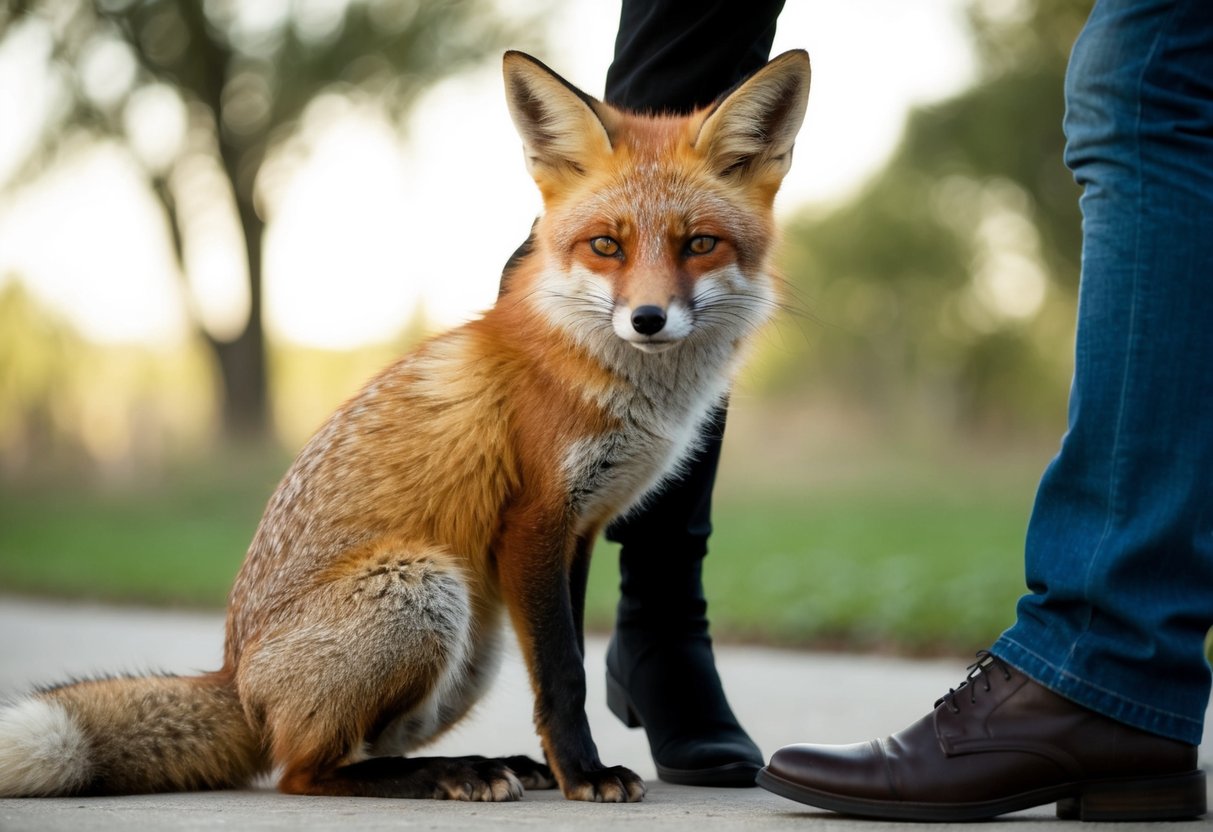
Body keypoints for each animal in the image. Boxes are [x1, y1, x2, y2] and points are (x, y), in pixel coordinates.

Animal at [0, 49, 810, 803]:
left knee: (351, 748)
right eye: (606, 246)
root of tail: (235, 678)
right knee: (303, 773)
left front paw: (562, 767)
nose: (647, 319)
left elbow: (572, 660)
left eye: (698, 244)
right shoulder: (535, 520)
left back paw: (490, 764)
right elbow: (563, 675)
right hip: (424, 588)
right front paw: (583, 774)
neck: (604, 374)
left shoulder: (578, 528)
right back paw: (448, 773)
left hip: (473, 647)